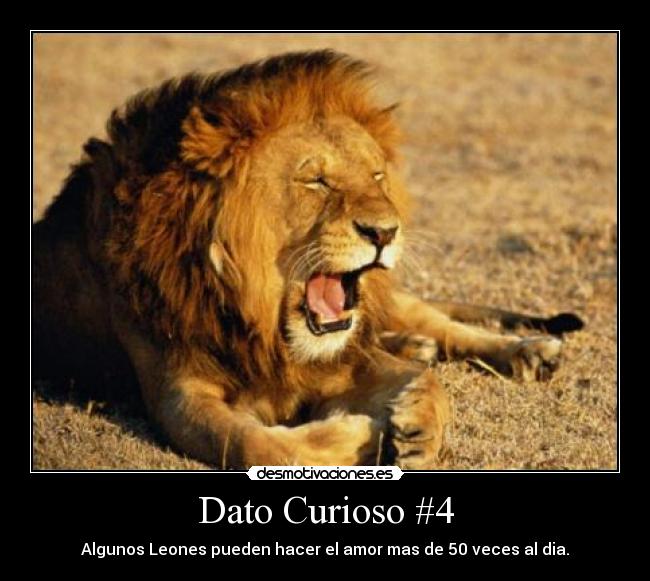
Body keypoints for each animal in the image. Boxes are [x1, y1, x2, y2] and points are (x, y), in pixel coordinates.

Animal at [33, 50, 583, 469]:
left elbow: (429, 384)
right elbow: (254, 443)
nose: (385, 231)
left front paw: (416, 429)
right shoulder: (179, 393)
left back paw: (527, 351)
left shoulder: (341, 359)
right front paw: (361, 433)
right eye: (315, 180)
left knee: (436, 319)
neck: (261, 320)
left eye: (377, 176)